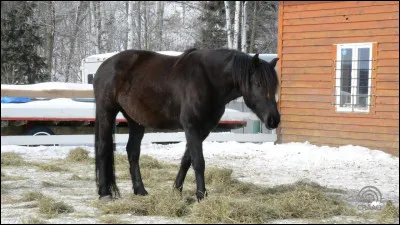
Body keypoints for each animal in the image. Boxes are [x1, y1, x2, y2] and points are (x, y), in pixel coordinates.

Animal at [94, 47, 282, 200]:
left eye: (274, 86)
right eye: (257, 83)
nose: (274, 119)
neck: (208, 80)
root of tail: (105, 66)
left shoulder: (203, 129)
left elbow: (187, 160)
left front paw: (177, 190)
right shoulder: (191, 127)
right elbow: (198, 162)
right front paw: (201, 195)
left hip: (135, 120)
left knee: (133, 152)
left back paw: (140, 190)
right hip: (106, 112)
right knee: (103, 148)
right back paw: (105, 193)